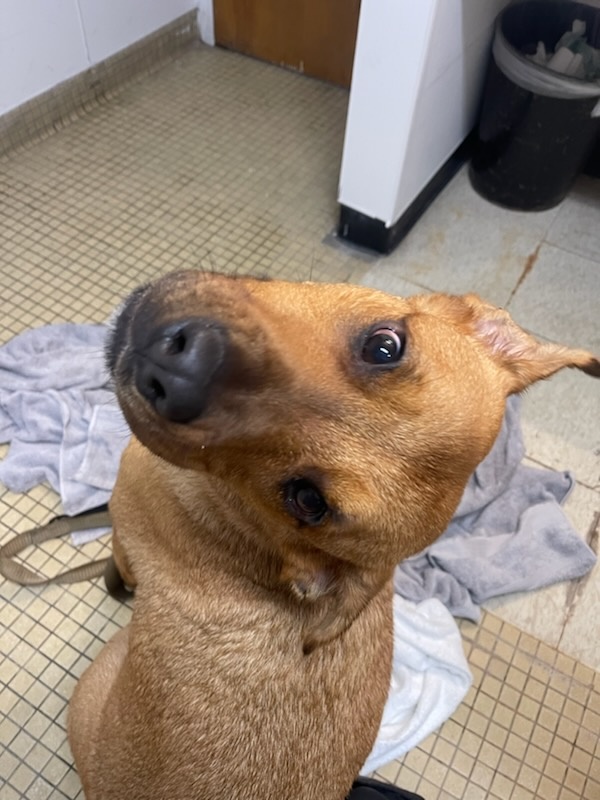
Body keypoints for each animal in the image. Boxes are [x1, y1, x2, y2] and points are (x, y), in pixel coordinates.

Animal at [68, 270, 596, 800]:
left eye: (307, 500)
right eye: (385, 346)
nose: (182, 373)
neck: (247, 530)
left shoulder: (126, 529)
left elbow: (121, 559)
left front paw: (115, 582)